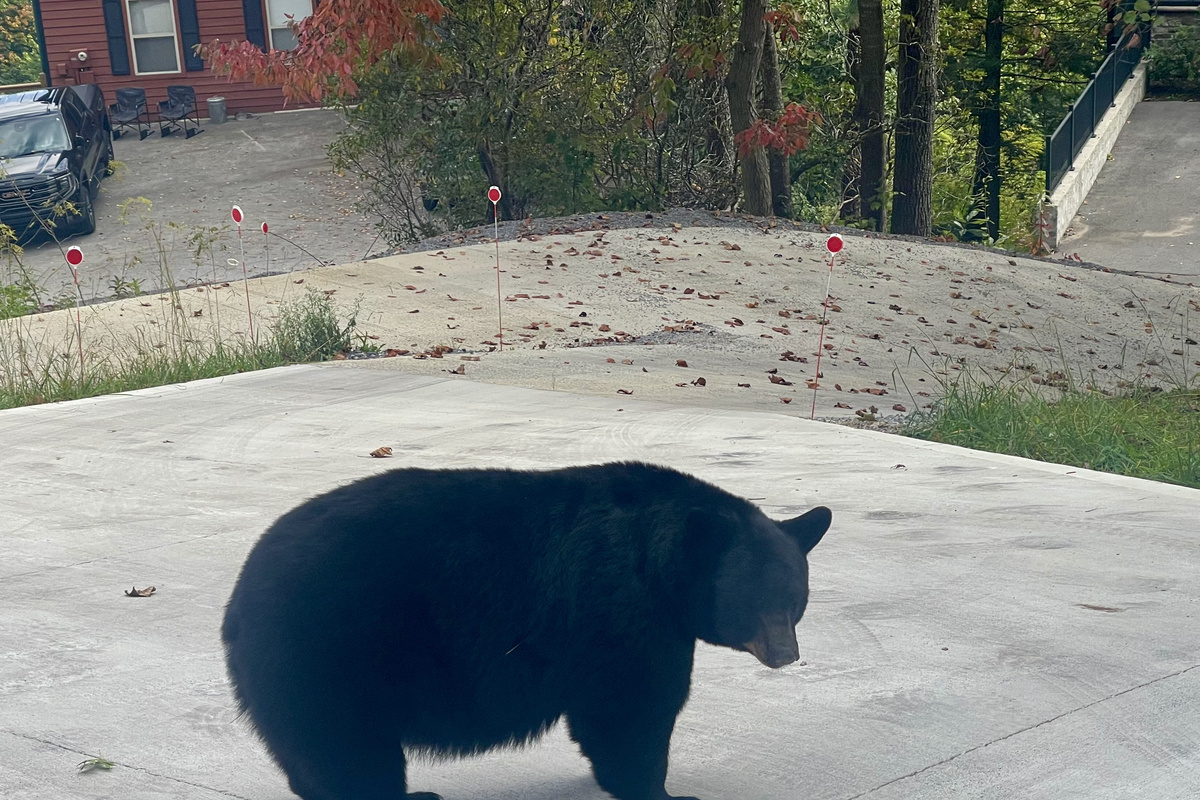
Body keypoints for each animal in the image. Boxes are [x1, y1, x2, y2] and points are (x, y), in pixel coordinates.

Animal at [222, 461, 831, 800]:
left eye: (794, 600)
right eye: (752, 602)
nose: (786, 653)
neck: (657, 562)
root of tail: (237, 599)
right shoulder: (619, 608)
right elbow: (632, 707)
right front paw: (661, 792)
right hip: (329, 648)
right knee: (345, 747)